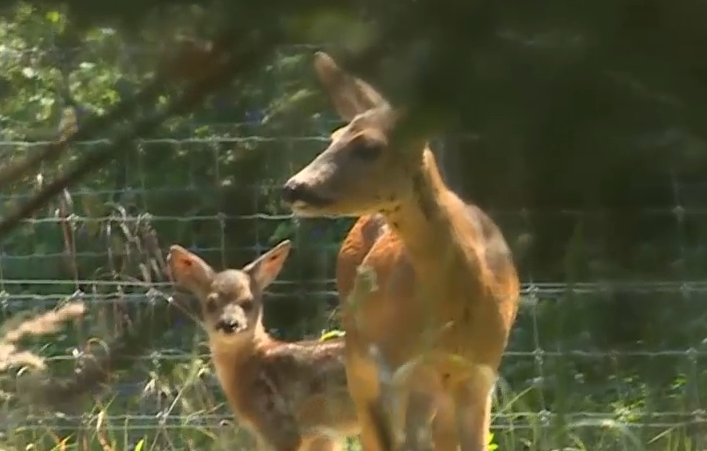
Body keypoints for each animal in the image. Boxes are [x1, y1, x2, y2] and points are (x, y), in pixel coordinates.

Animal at [280, 52, 520, 451]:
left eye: (369, 147)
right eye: (333, 138)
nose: (293, 187)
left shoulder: (481, 373)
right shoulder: (398, 370)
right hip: (363, 363)